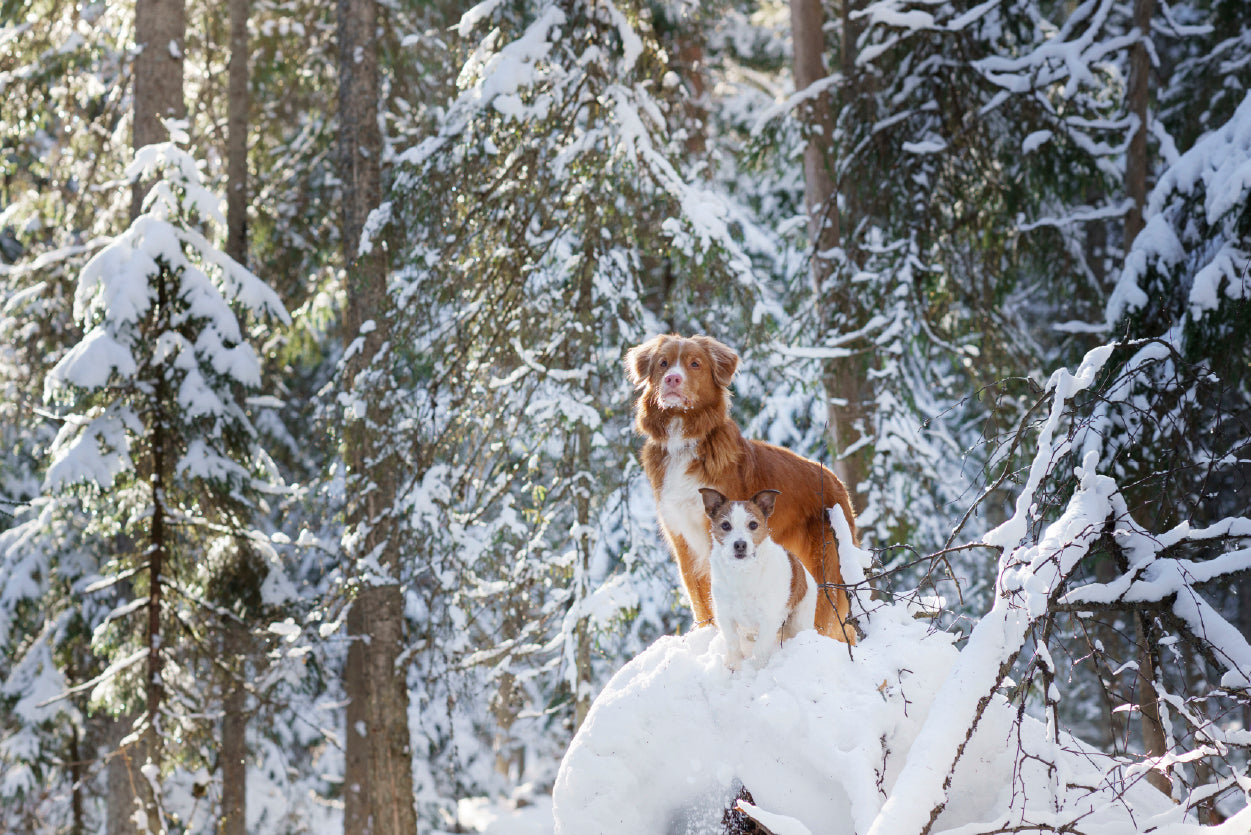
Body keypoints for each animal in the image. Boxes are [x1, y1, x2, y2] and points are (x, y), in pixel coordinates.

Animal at [625, 335, 860, 645]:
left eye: (694, 364)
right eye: (663, 363)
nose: (672, 378)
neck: (684, 441)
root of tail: (837, 483)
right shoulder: (683, 538)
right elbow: (700, 599)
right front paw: (707, 634)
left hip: (824, 565)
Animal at [700, 490, 815, 671]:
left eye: (753, 525)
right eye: (725, 525)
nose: (740, 545)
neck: (742, 572)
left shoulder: (769, 618)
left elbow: (761, 649)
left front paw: (757, 671)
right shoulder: (726, 616)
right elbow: (733, 643)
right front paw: (733, 666)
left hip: (799, 622)